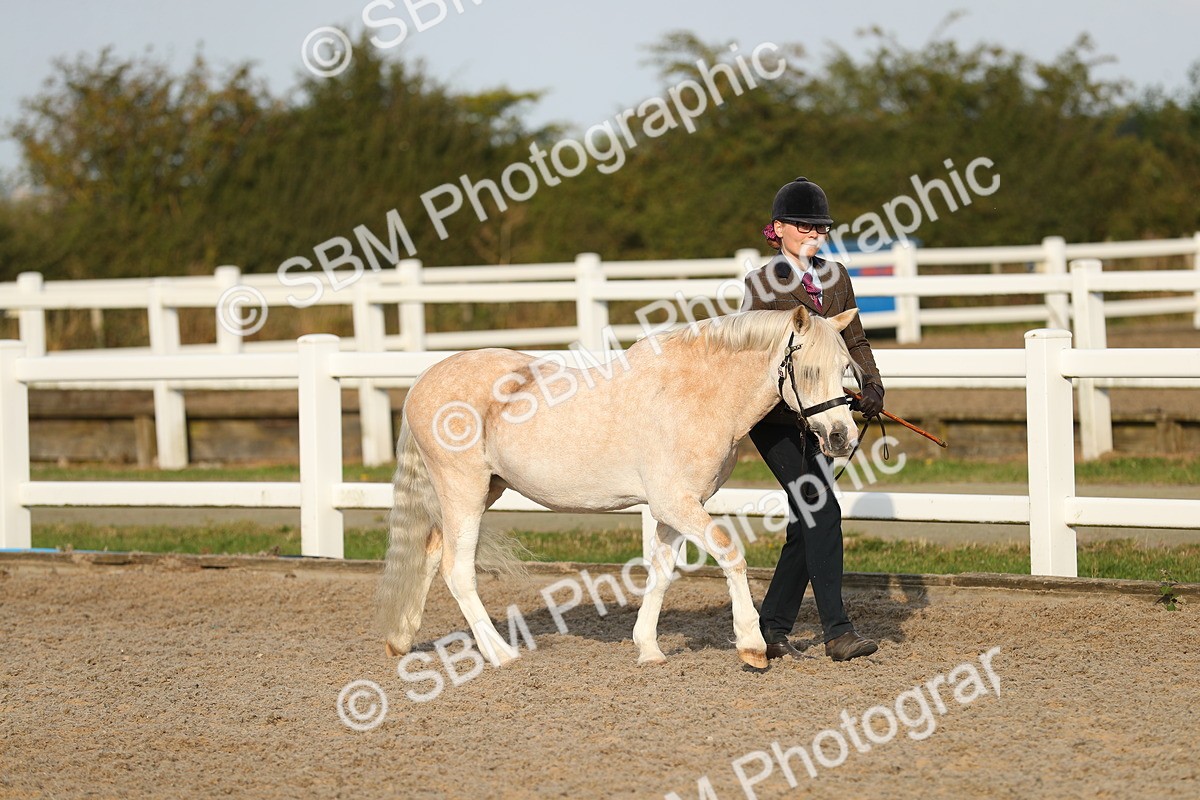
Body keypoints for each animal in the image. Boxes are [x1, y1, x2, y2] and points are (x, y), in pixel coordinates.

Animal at [376, 304, 861, 669]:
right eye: (809, 370)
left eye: (845, 369)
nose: (842, 437)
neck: (694, 395)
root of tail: (422, 381)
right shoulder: (676, 503)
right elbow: (730, 551)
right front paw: (752, 645)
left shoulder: (675, 509)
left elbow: (661, 574)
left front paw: (649, 648)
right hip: (464, 491)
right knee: (457, 570)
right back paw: (500, 654)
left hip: (481, 492)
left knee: (430, 552)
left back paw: (401, 640)